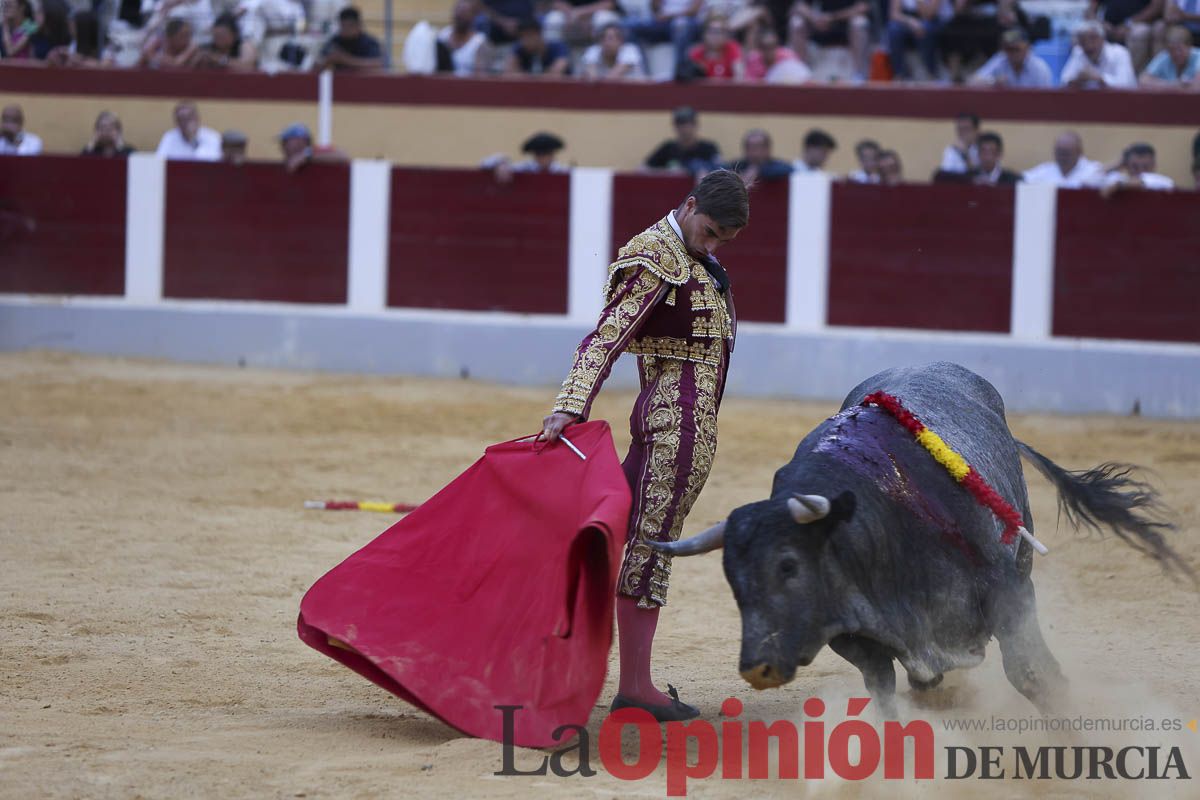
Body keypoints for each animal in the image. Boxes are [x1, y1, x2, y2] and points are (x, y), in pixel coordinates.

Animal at [657, 367, 1190, 714]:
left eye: (788, 565)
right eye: (733, 581)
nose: (757, 667)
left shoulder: (1009, 594)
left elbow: (1031, 675)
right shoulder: (852, 630)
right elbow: (884, 692)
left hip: (1023, 559)